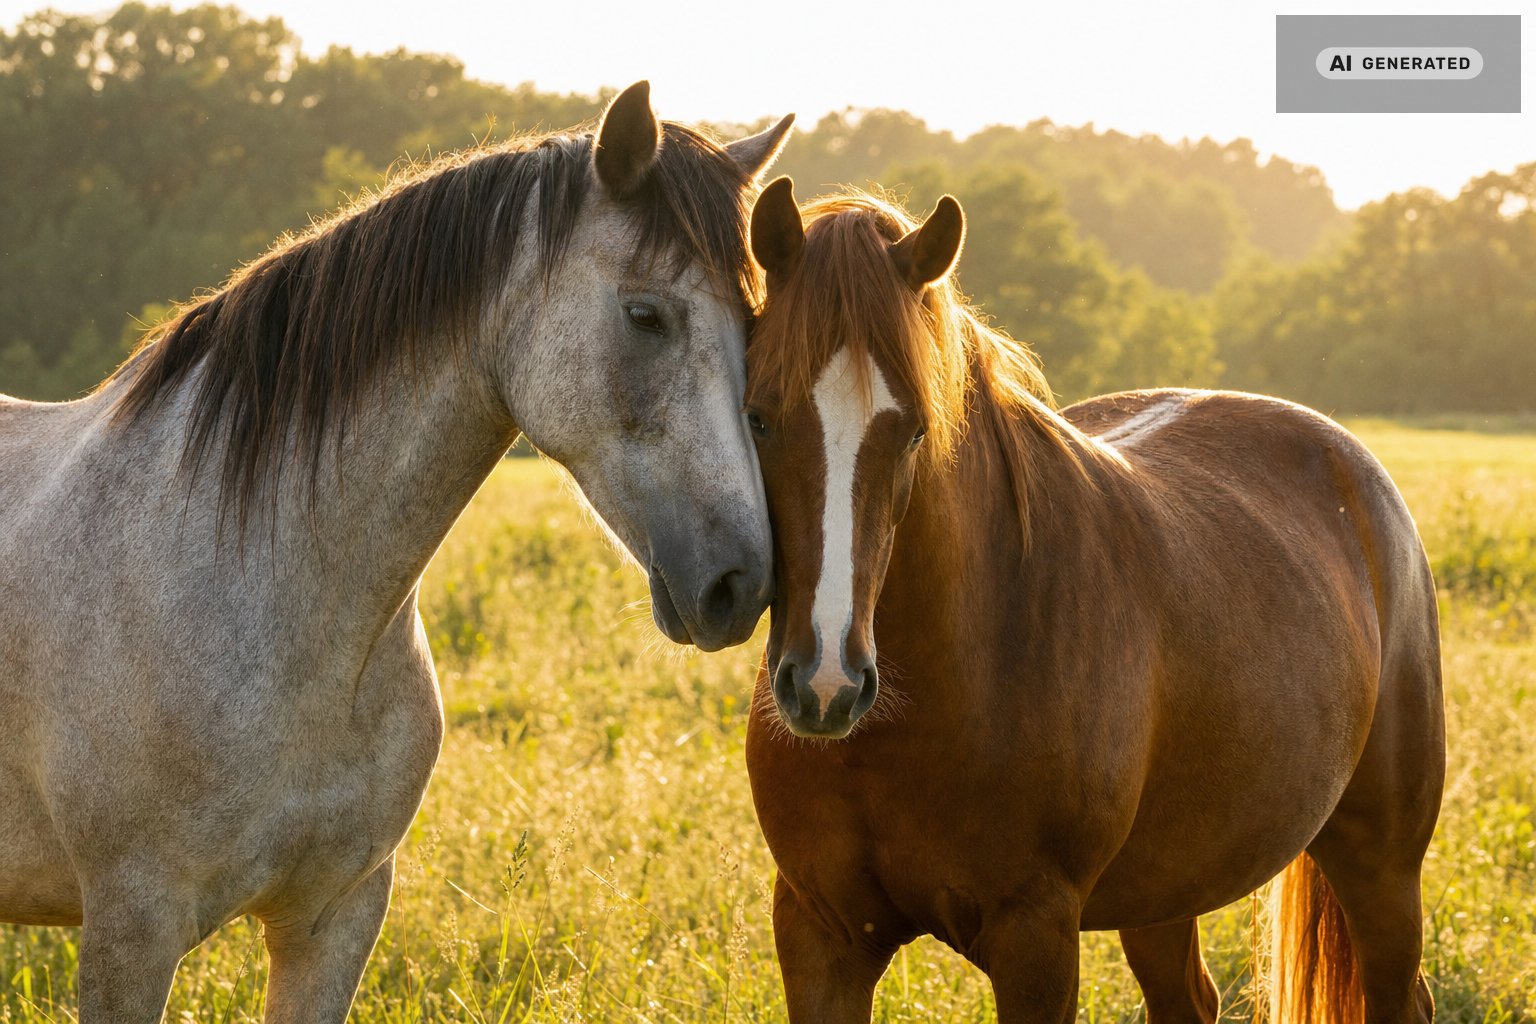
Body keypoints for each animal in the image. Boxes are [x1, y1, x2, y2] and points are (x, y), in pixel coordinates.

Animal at [741, 179, 1445, 1023]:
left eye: (913, 430)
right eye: (758, 416)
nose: (826, 685)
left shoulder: (1037, 938)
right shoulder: (821, 932)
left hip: (1383, 867)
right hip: (1169, 888)